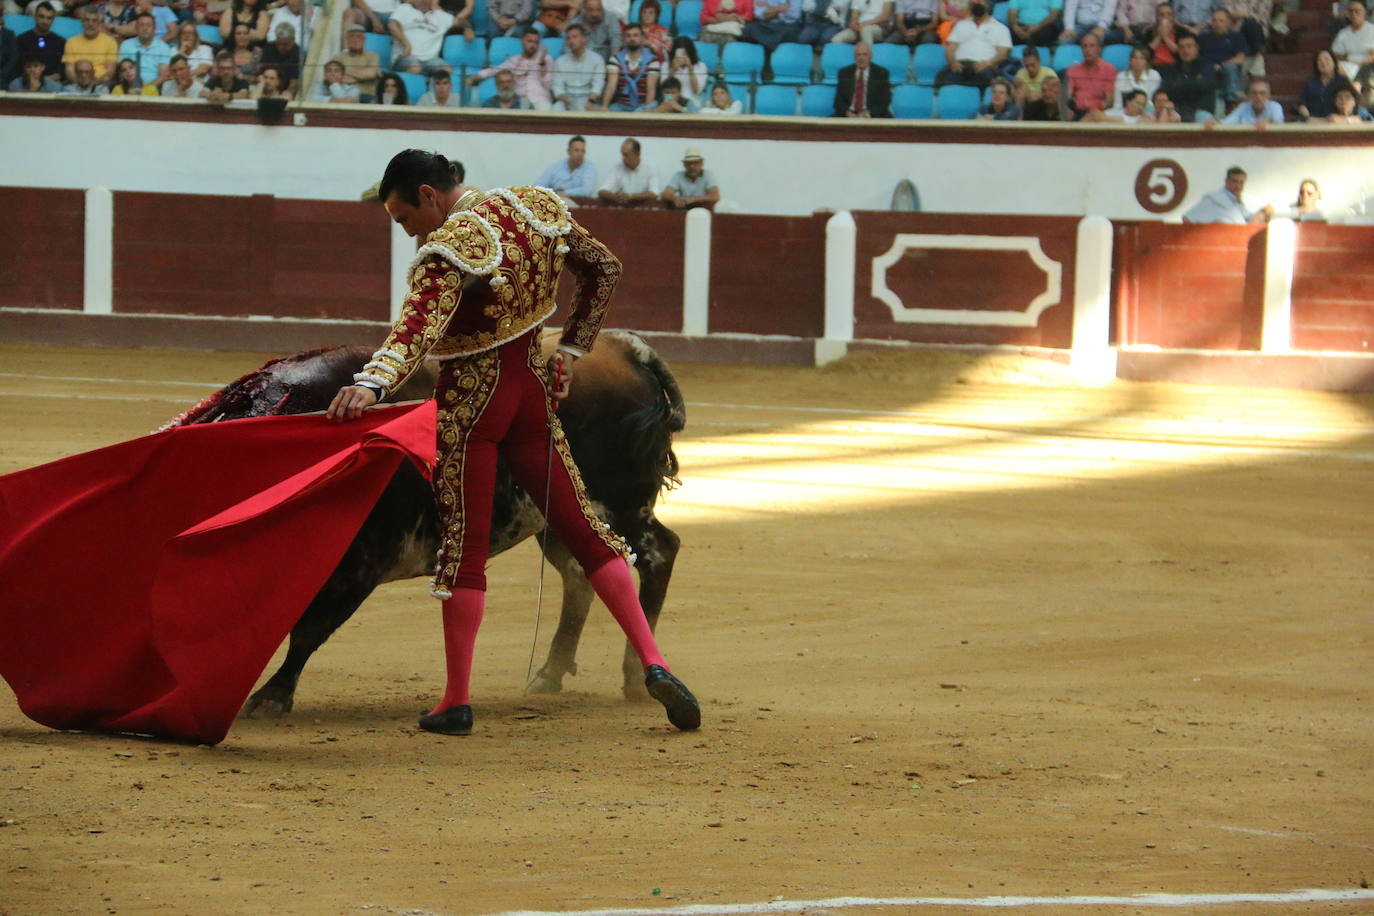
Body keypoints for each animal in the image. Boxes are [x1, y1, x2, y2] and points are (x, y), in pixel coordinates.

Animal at [166, 329, 687, 714]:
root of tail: (630, 348)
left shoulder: (357, 566)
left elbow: (307, 630)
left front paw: (271, 696)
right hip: (556, 517)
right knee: (583, 573)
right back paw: (550, 674)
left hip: (619, 503)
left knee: (657, 554)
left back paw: (638, 679)